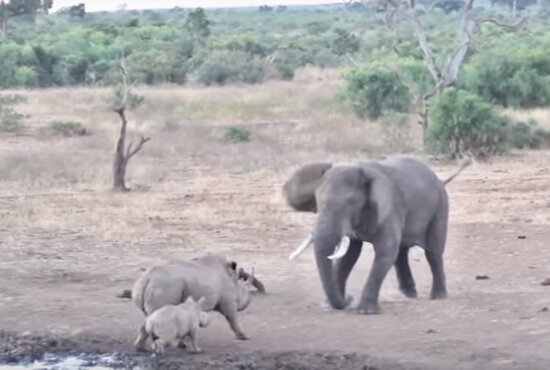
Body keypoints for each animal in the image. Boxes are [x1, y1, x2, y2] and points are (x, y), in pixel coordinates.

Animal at [284, 155, 470, 314]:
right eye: (318, 202)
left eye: (351, 202)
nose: (349, 299)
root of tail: (439, 179)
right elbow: (349, 257)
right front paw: (329, 305)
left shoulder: (390, 207)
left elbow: (385, 251)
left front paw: (365, 311)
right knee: (401, 252)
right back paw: (409, 294)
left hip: (441, 206)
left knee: (433, 252)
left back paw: (438, 296)